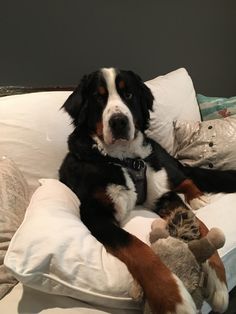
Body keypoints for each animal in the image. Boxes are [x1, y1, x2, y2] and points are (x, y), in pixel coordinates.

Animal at [59, 68, 236, 314]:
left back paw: (197, 197)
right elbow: (139, 249)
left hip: (162, 162)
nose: (119, 121)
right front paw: (173, 298)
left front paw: (218, 282)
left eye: (129, 94)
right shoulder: (95, 214)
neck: (124, 159)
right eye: (98, 97)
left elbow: (202, 227)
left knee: (185, 178)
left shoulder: (162, 196)